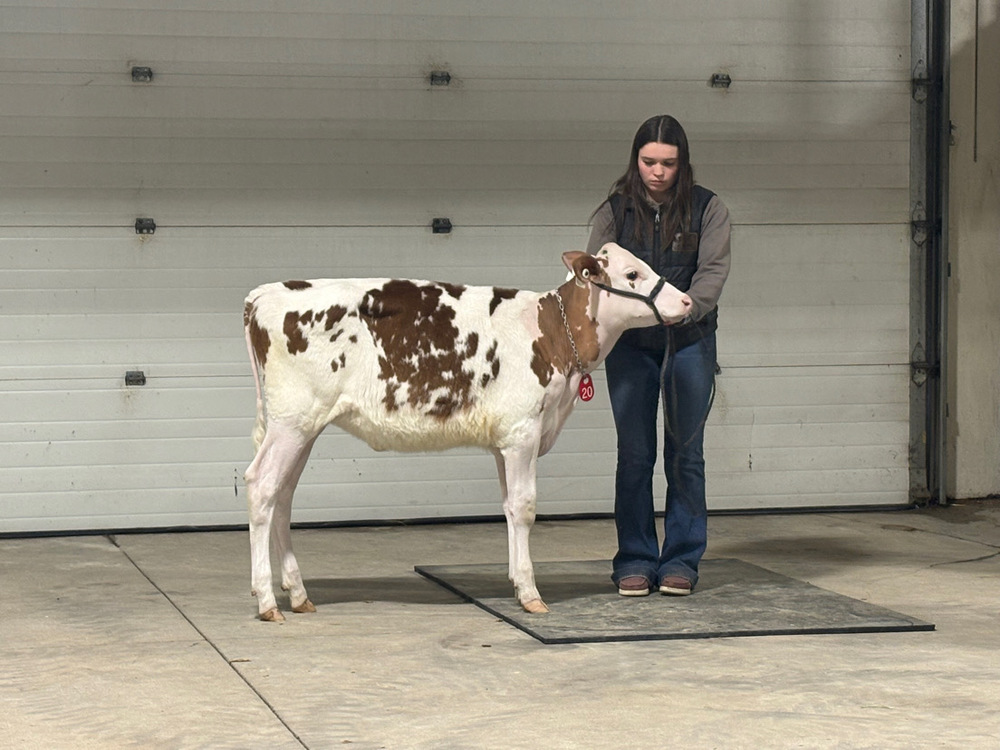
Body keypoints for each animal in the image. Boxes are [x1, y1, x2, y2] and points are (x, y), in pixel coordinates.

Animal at [242, 242, 692, 622]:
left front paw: (515, 582)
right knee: (262, 487)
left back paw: (298, 594)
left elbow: (509, 507)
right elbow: (525, 507)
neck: (549, 333)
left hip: (303, 426)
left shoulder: (504, 441)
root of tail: (263, 294)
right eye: (632, 274)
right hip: (292, 421)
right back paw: (267, 601)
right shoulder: (523, 432)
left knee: (283, 495)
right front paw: (531, 594)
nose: (687, 301)